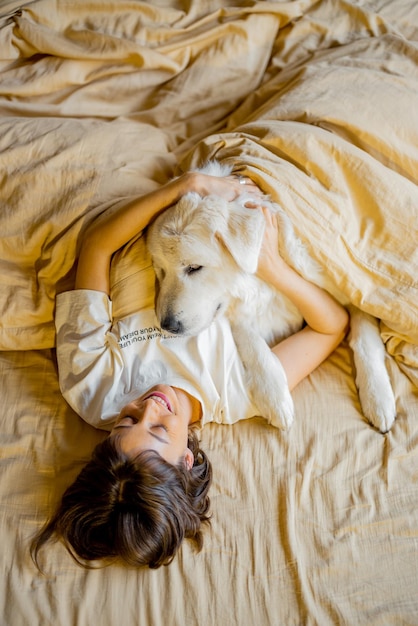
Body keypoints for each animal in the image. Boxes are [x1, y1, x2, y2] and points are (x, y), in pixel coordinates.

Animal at [146, 163, 396, 432]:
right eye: (161, 271)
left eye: (194, 267)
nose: (167, 325)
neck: (262, 283)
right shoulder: (240, 314)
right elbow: (253, 343)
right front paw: (275, 396)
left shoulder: (355, 290)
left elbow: (364, 341)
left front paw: (378, 398)